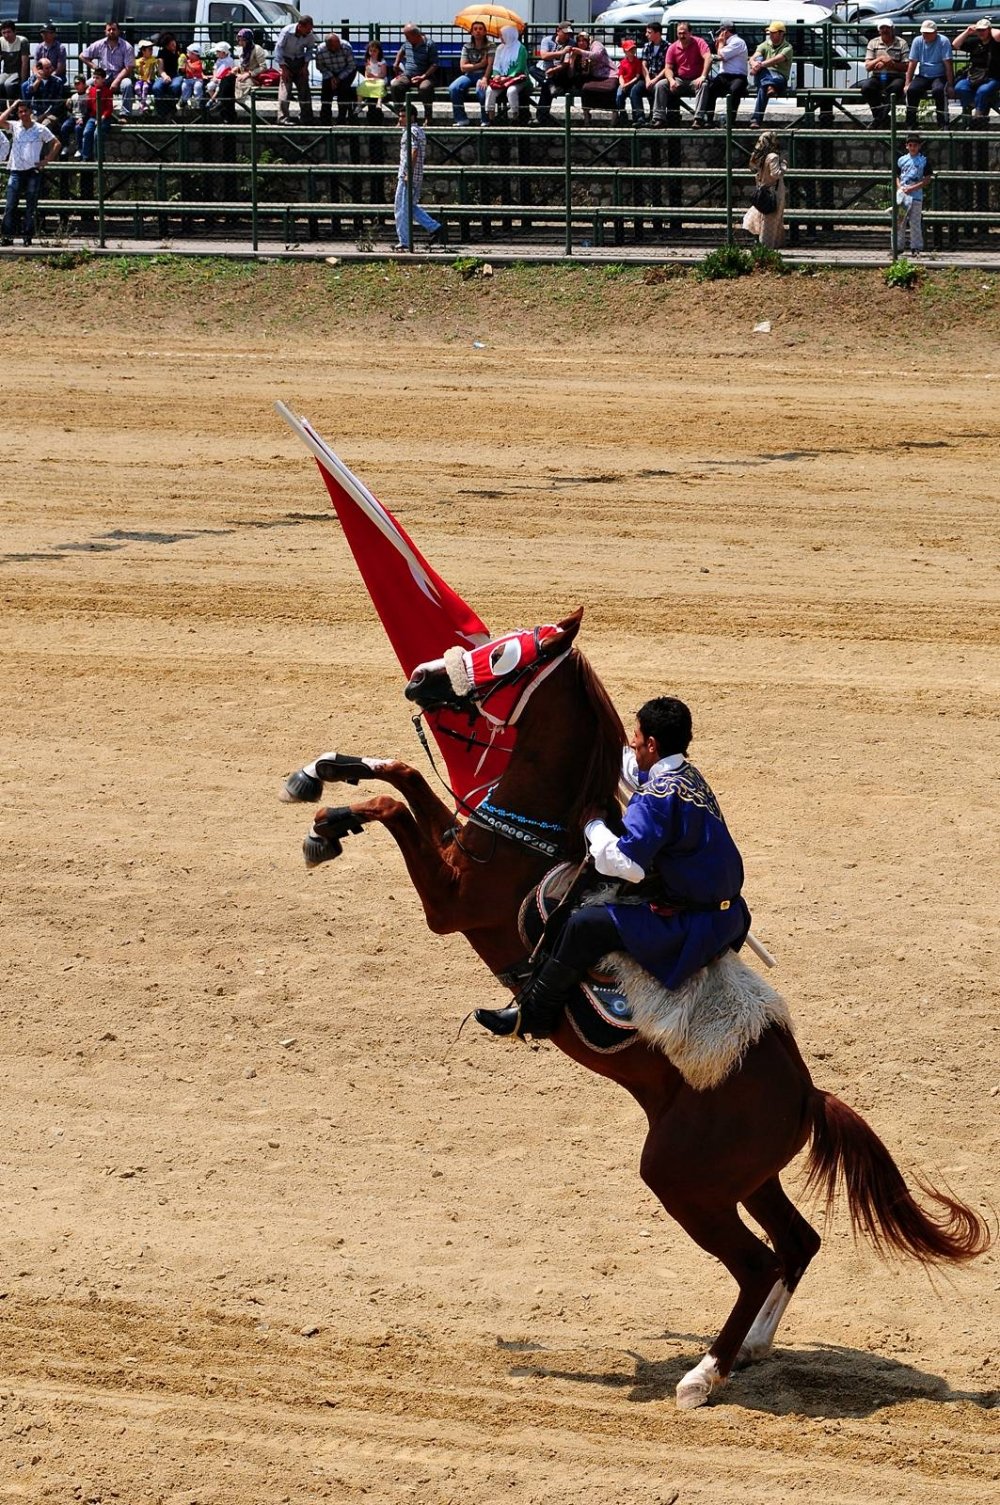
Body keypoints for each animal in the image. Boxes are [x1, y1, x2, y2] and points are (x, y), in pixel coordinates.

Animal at [278, 605, 981, 1402]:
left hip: (682, 1181)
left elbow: (398, 803)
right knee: (797, 1241)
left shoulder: (451, 899)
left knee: (758, 1261)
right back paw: (755, 1347)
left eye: (505, 652)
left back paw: (704, 1375)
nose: (421, 677)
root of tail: (807, 1093)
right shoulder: (462, 838)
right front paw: (320, 785)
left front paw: (328, 821)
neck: (538, 834)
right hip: (742, 1178)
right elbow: (400, 776)